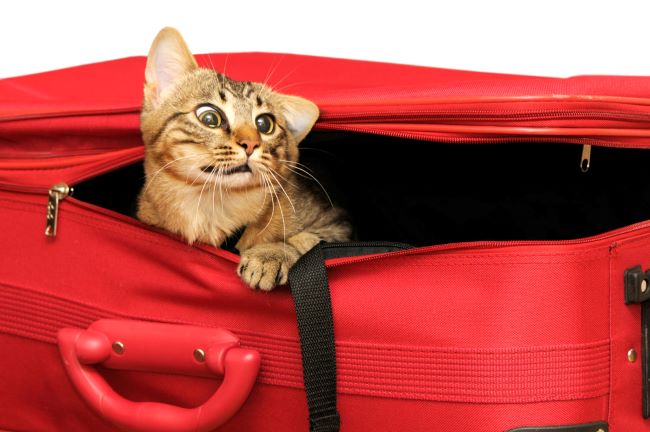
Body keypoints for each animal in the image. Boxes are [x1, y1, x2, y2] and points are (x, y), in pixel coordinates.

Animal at [136, 27, 350, 290]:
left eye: (265, 124)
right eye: (210, 117)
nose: (250, 143)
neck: (212, 207)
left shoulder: (339, 225)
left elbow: (311, 241)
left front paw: (272, 253)